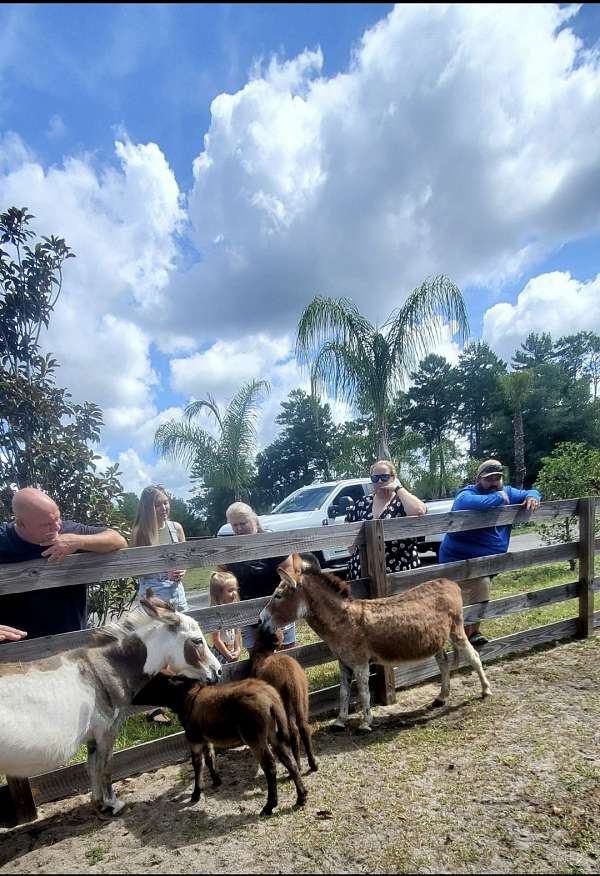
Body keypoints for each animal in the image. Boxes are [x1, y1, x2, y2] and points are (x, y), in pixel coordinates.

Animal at [260, 556, 490, 732]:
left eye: (278, 596)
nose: (260, 620)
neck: (344, 620)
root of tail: (449, 582)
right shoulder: (344, 662)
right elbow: (343, 692)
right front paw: (339, 722)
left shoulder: (361, 662)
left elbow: (363, 692)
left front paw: (365, 723)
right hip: (436, 640)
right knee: (443, 663)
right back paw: (441, 697)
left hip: (456, 631)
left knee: (474, 656)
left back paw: (486, 691)